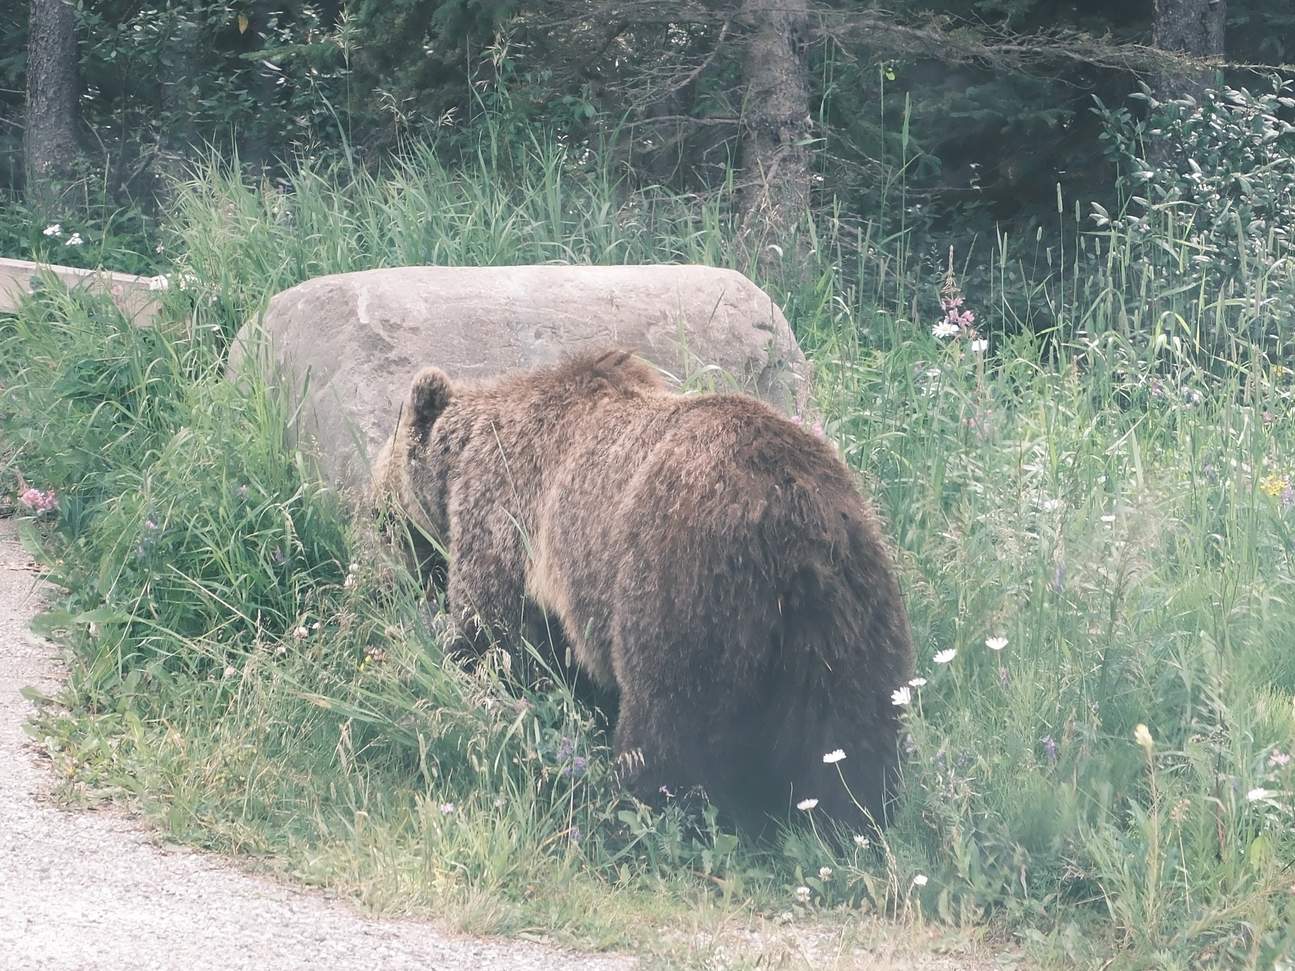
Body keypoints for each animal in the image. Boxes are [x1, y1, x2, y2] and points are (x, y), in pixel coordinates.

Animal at [373, 348, 914, 834]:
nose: (378, 530)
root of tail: (792, 522)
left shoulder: (504, 514)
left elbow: (493, 631)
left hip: (678, 578)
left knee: (668, 716)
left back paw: (633, 810)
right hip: (852, 608)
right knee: (852, 733)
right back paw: (854, 824)